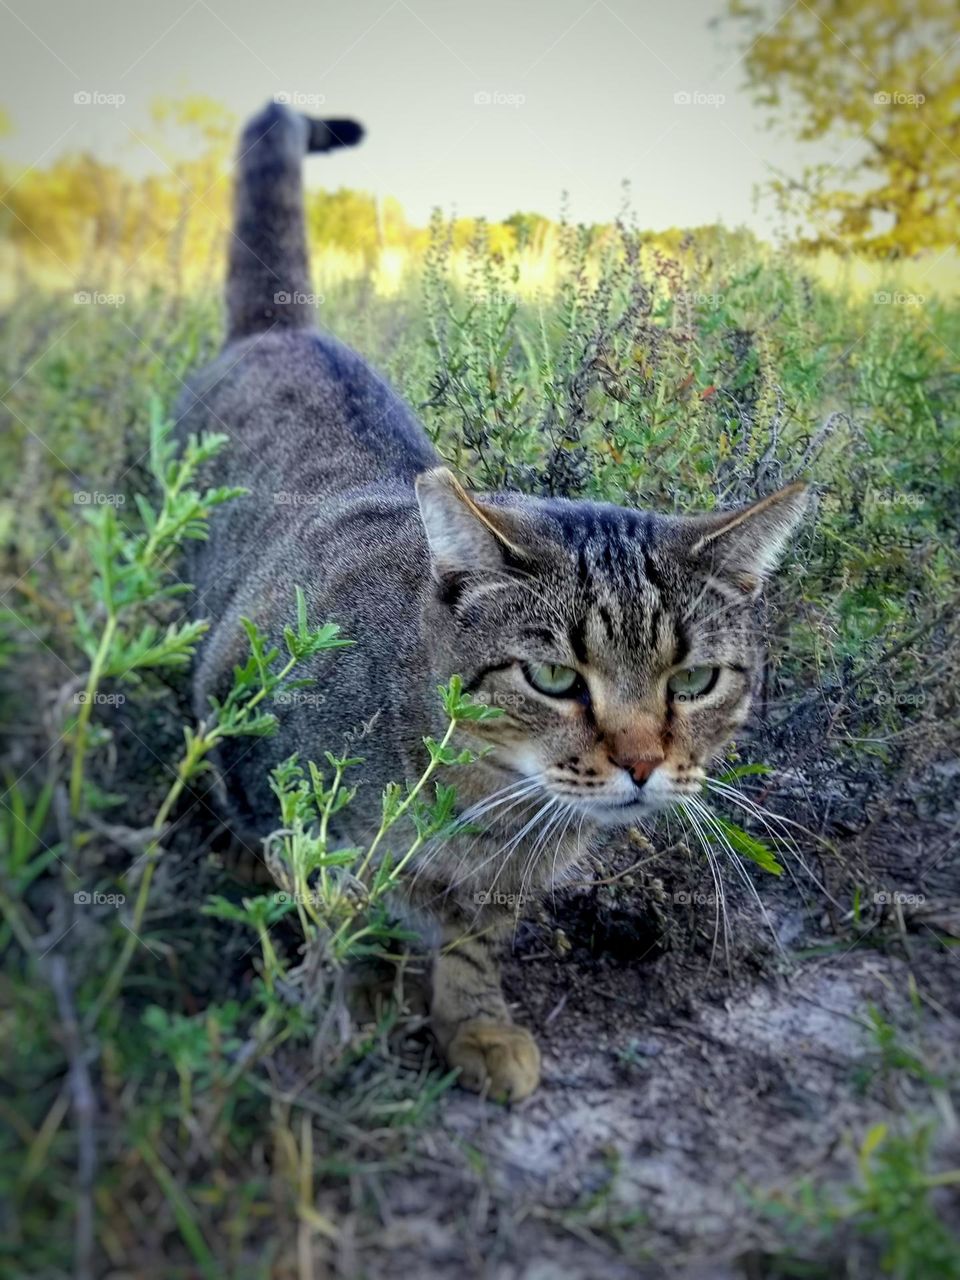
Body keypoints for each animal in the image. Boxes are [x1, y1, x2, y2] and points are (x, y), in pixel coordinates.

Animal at [176, 102, 808, 1100]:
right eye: (552, 678)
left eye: (695, 681)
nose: (642, 763)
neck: (487, 813)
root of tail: (279, 331)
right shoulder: (266, 745)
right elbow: (342, 908)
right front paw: (360, 1002)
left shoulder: (499, 889)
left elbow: (470, 945)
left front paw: (472, 1023)